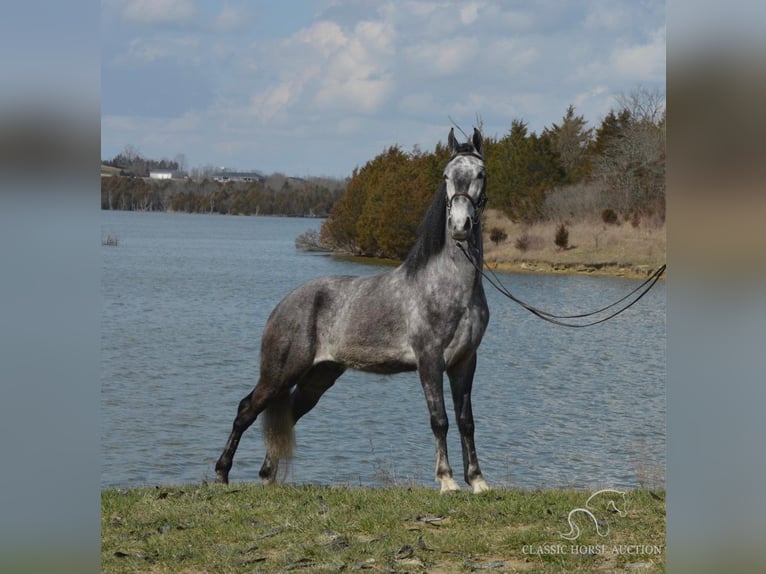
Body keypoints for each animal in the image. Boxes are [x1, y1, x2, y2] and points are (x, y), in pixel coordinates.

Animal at [216, 129, 492, 496]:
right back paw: (221, 474)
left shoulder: (464, 363)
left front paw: (478, 480)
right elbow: (440, 420)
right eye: (446, 176)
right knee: (246, 410)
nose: (460, 225)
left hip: (317, 378)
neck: (450, 286)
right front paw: (446, 480)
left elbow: (466, 421)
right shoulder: (430, 361)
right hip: (280, 373)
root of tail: (285, 305)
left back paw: (267, 477)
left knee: (286, 416)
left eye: (480, 175)